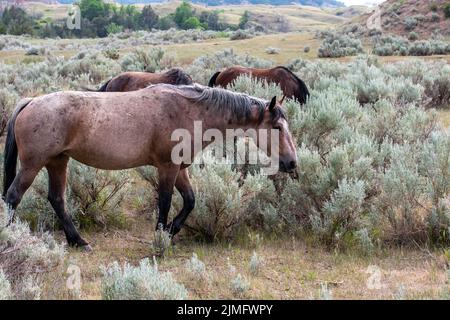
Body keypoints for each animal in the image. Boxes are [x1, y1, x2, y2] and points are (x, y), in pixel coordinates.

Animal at [4, 84, 298, 250]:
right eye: (277, 127)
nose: (292, 163)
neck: (190, 111)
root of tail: (31, 101)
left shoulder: (180, 168)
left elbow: (190, 200)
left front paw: (170, 231)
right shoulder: (167, 167)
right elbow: (165, 203)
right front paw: (160, 240)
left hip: (58, 161)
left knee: (57, 199)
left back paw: (78, 241)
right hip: (33, 164)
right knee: (13, 196)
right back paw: (9, 238)